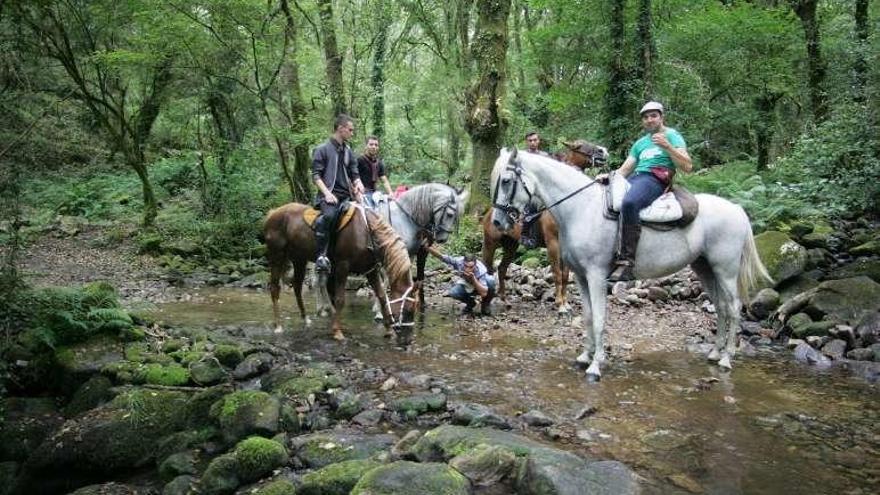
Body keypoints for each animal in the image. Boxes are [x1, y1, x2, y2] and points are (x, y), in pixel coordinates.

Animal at [262, 203, 418, 342]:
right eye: (409, 310)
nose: (408, 340)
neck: (366, 232)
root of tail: (273, 213)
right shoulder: (343, 266)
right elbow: (340, 299)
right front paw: (337, 332)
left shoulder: (371, 270)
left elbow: (381, 296)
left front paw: (389, 331)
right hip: (277, 256)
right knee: (275, 288)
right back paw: (278, 326)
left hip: (299, 258)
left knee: (297, 286)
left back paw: (305, 319)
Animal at [488, 149, 768, 382]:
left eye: (506, 181)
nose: (498, 222)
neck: (581, 209)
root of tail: (737, 209)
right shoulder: (580, 277)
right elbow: (587, 316)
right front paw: (584, 357)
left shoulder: (596, 275)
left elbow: (599, 318)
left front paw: (595, 366)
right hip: (705, 268)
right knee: (720, 307)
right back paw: (714, 353)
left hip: (725, 270)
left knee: (733, 308)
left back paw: (726, 358)